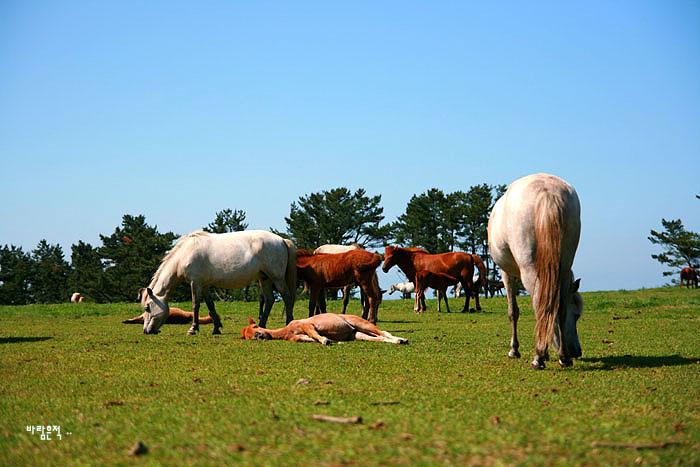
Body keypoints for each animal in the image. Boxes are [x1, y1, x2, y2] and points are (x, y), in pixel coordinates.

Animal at [139, 231, 296, 336]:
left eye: (147, 308)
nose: (146, 331)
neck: (184, 254)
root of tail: (281, 240)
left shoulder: (195, 282)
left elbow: (195, 305)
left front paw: (193, 329)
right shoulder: (204, 285)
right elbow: (210, 305)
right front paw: (216, 328)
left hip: (277, 278)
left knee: (287, 297)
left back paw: (288, 323)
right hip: (265, 279)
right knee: (270, 300)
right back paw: (262, 325)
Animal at [490, 174, 584, 372]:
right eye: (576, 315)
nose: (577, 351)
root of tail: (549, 191)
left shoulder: (506, 274)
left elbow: (513, 311)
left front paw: (514, 350)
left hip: (529, 269)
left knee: (541, 306)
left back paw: (539, 358)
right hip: (563, 268)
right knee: (558, 307)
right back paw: (563, 357)